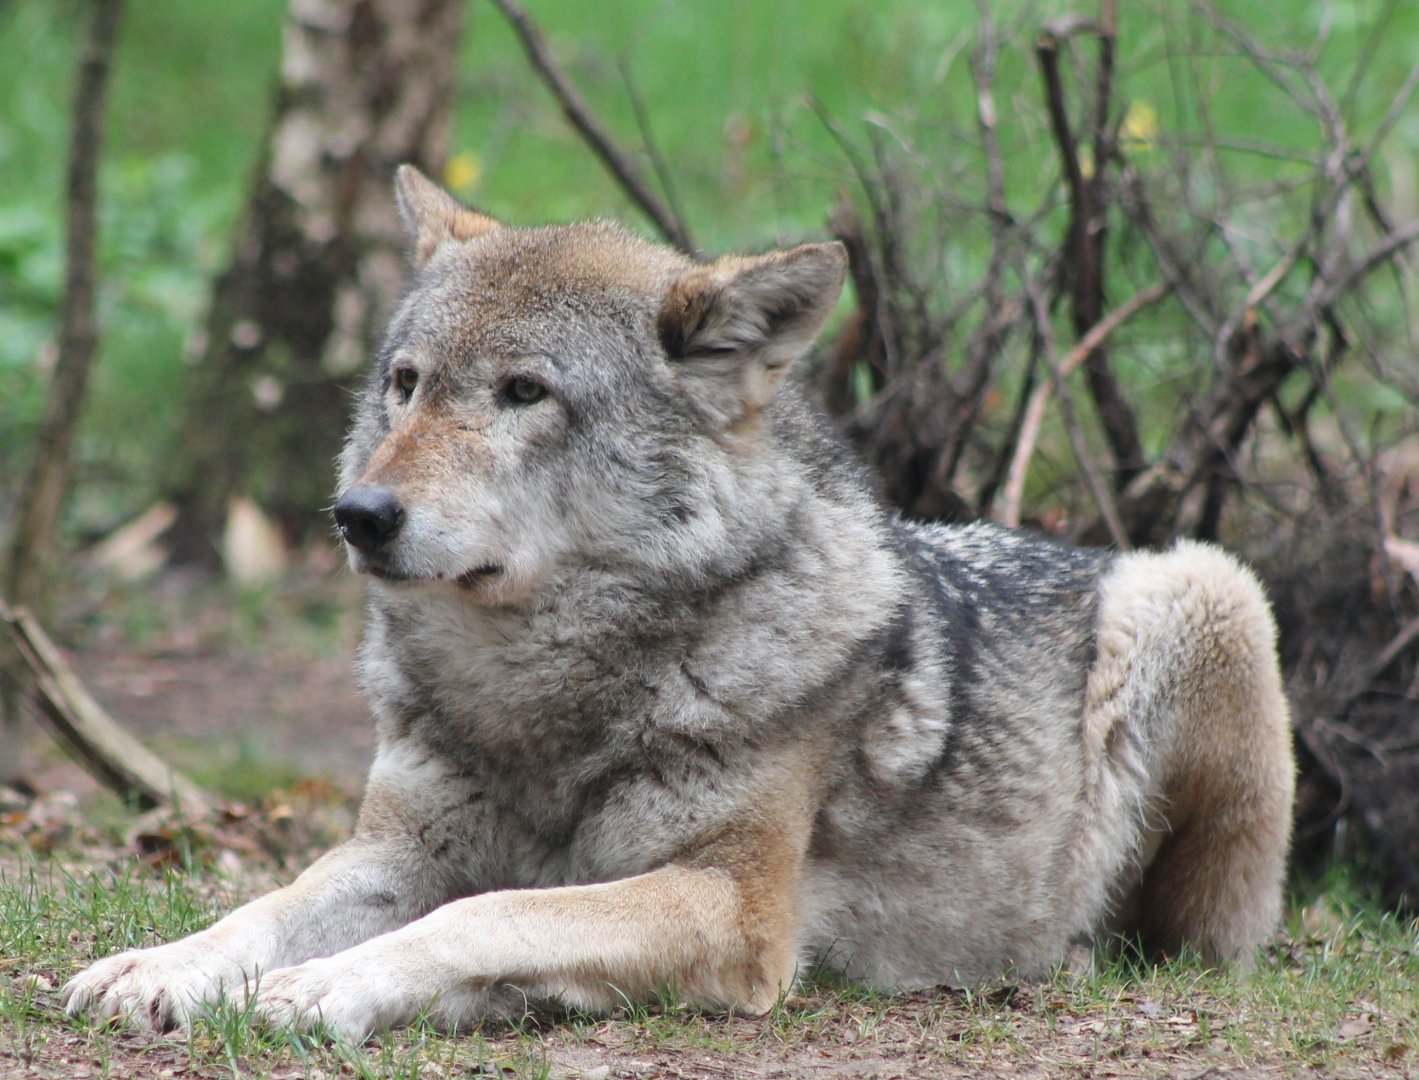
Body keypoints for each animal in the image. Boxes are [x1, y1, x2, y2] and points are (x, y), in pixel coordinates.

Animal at [63, 166, 1296, 1041]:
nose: (358, 514)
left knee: (1186, 945)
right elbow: (270, 905)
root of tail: (1074, 546)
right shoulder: (395, 850)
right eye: (405, 385)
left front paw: (323, 992)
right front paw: (162, 968)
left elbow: (482, 913)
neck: (540, 706)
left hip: (1204, 586)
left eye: (524, 393)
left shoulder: (734, 909)